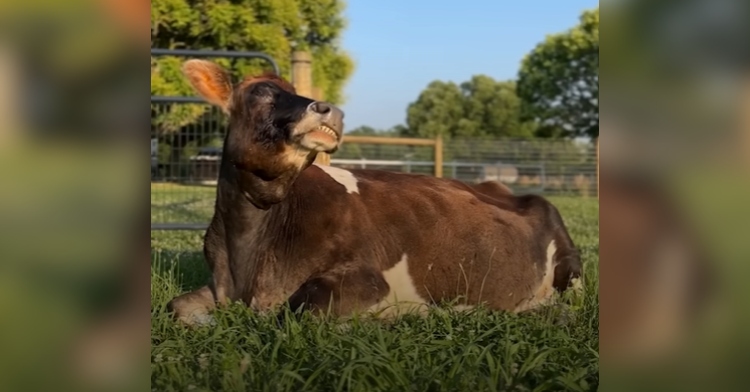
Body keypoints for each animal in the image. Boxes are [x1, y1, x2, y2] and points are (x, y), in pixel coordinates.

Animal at [167, 60, 584, 324]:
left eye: (295, 92)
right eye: (258, 94)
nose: (329, 110)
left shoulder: (366, 278)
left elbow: (302, 310)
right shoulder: (217, 284)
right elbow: (177, 307)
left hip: (567, 258)